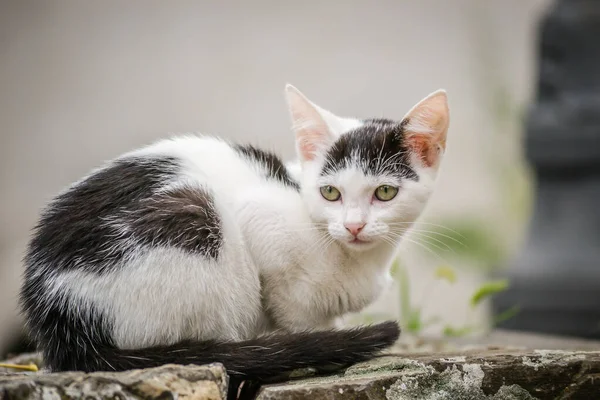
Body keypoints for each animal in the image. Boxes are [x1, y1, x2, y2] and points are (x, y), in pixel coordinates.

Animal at [19, 84, 450, 388]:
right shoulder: (260, 221)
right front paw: (315, 343)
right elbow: (296, 312)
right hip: (194, 219)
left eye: (385, 192)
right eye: (331, 193)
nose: (354, 226)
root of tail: (59, 324)